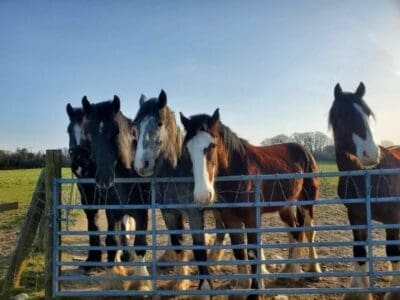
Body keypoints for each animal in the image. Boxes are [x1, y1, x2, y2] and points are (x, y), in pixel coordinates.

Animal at [81, 95, 152, 290]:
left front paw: (142, 282)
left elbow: (141, 244)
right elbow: (112, 241)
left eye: (116, 132)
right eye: (89, 133)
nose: (104, 179)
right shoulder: (112, 212)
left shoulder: (142, 213)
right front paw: (114, 273)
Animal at [132, 90, 223, 292]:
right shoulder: (170, 213)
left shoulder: (195, 213)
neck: (177, 171)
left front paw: (204, 287)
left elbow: (199, 247)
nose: (141, 165)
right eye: (136, 125)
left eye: (159, 123)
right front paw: (179, 282)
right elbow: (178, 244)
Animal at [181, 108, 322, 298]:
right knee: (294, 231)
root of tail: (305, 151)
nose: (203, 196)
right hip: (285, 207)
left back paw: (314, 271)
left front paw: (255, 291)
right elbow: (239, 251)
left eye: (212, 145)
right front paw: (242, 286)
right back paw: (288, 270)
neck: (239, 171)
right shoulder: (230, 218)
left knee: (308, 231)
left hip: (307, 203)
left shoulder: (251, 218)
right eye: (187, 149)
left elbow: (253, 252)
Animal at [328, 82, 400, 300]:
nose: (371, 154)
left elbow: (393, 250)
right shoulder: (356, 215)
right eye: (343, 115)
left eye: (367, 114)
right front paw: (358, 291)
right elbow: (359, 250)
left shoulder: (393, 216)